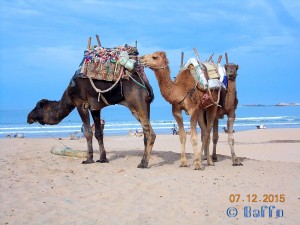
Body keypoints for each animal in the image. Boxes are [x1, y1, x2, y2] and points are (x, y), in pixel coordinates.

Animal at [27, 67, 157, 168]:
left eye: (38, 106)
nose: (28, 117)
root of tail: (146, 84)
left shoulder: (81, 104)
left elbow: (87, 132)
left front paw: (88, 159)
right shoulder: (95, 108)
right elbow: (98, 133)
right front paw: (102, 159)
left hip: (138, 102)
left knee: (149, 133)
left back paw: (143, 163)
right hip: (138, 108)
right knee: (148, 133)